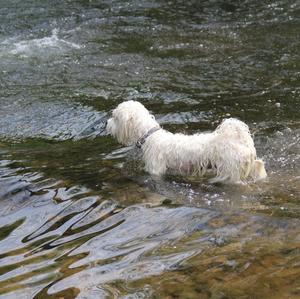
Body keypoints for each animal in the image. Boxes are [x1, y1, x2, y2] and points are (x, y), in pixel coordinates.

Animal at [106, 101, 266, 184]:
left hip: (231, 170)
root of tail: (238, 139)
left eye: (115, 117)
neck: (150, 135)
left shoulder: (155, 170)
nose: (106, 123)